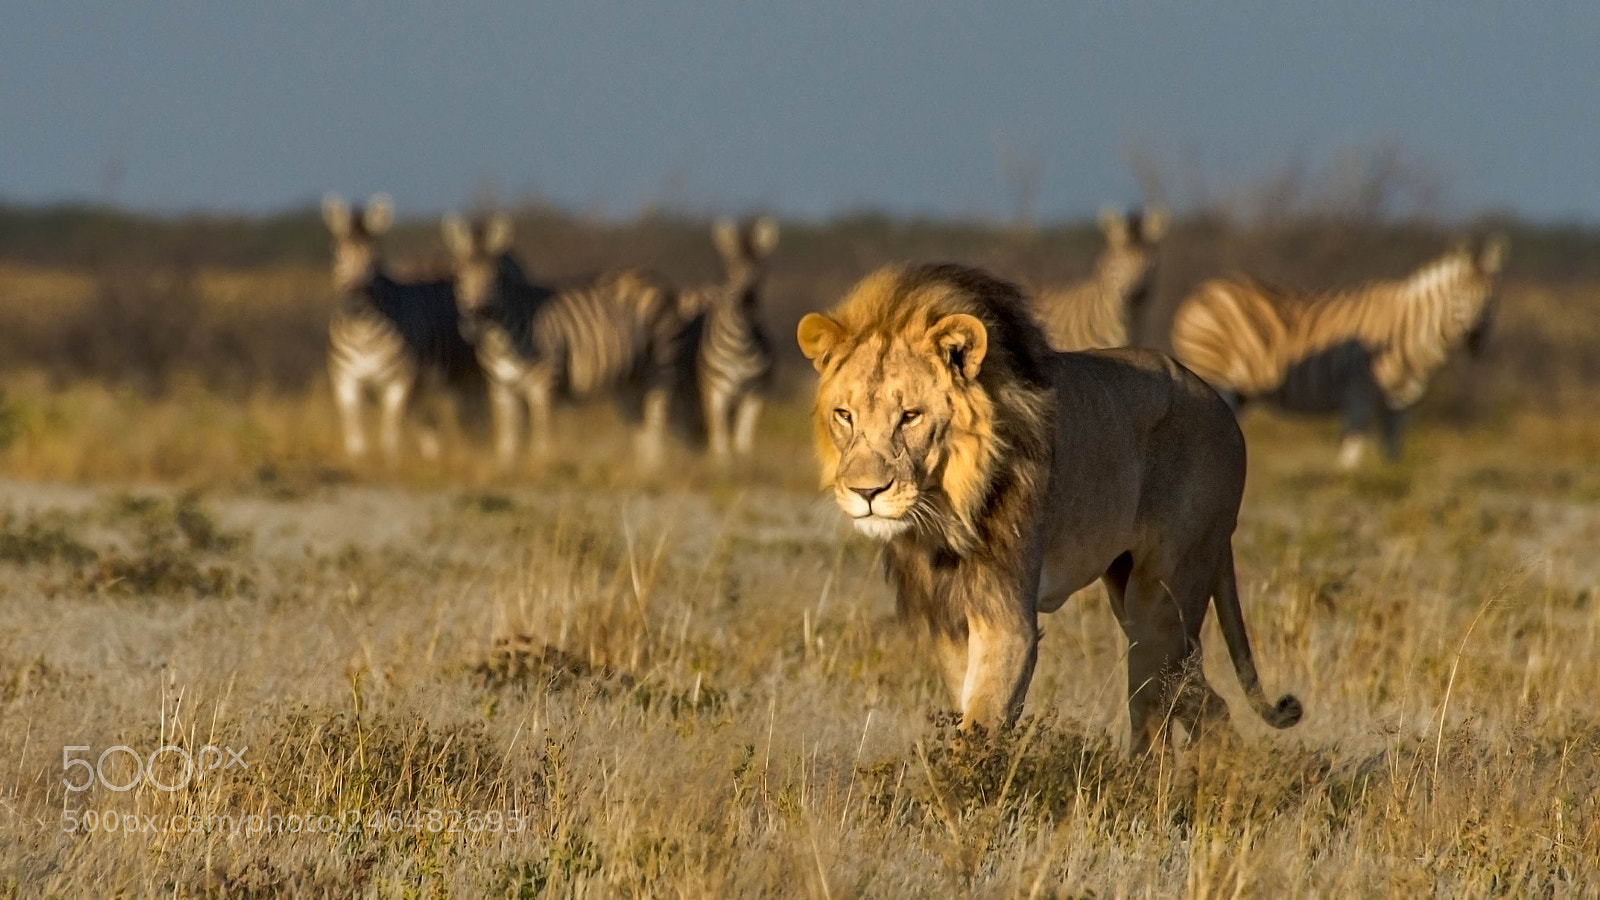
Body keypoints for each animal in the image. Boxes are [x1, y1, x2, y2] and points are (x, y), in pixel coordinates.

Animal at [322, 193, 482, 465]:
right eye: (336, 253)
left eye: (375, 259)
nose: (354, 303)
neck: (361, 332)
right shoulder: (346, 381)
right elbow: (355, 435)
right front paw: (358, 463)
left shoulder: (399, 382)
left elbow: (390, 433)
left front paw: (390, 465)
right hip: (426, 386)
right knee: (430, 426)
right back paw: (433, 459)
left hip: (463, 378)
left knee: (464, 422)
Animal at [440, 212, 682, 470]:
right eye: (459, 278)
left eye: (494, 280)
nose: (476, 320)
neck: (499, 341)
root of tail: (651, 276)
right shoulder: (501, 388)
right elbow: (507, 441)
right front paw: (506, 471)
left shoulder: (543, 385)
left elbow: (541, 437)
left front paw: (541, 469)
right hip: (630, 382)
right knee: (642, 429)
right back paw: (639, 471)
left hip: (659, 369)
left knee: (657, 422)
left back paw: (653, 470)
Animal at [676, 217, 779, 463]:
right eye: (731, 270)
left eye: (762, 271)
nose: (748, 302)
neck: (741, 345)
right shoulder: (715, 392)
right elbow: (720, 442)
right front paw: (720, 467)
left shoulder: (756, 394)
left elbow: (743, 442)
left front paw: (744, 466)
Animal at [797, 263, 1302, 753]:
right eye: (845, 416)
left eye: (910, 416)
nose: (866, 492)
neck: (943, 512)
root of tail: (1222, 406)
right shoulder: (948, 614)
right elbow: (965, 705)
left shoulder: (1008, 616)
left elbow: (977, 731)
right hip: (1132, 590)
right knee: (1200, 698)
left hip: (1162, 593)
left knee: (1156, 716)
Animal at [1169, 235, 1509, 468]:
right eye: (1460, 299)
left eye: (1490, 300)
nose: (1477, 338)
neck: (1410, 333)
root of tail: (1200, 292)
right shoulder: (1359, 391)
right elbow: (1352, 452)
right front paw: (1347, 488)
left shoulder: (1401, 402)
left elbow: (1393, 453)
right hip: (1213, 371)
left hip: (1237, 391)